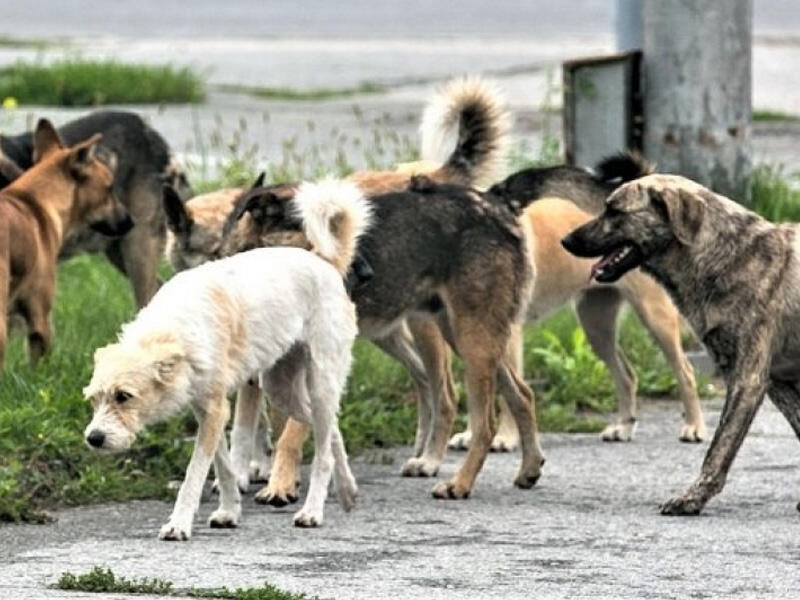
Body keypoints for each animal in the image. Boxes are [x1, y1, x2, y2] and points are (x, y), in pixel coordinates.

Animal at [81, 178, 368, 540]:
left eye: (124, 396)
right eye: (94, 400)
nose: (93, 438)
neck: (174, 330)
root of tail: (324, 261)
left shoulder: (216, 411)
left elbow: (195, 473)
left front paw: (179, 523)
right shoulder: (207, 411)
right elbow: (224, 465)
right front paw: (229, 511)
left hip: (319, 381)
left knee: (323, 452)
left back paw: (312, 511)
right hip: (282, 390)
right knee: (330, 432)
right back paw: (347, 490)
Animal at [450, 155, 708, 450]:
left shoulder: (509, 336)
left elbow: (507, 395)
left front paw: (505, 437)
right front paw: (471, 435)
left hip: (655, 319)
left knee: (685, 371)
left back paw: (694, 426)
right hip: (596, 325)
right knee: (627, 375)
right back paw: (623, 427)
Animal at [560, 173, 800, 516]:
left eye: (614, 211)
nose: (565, 241)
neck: (728, 257)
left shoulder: (748, 381)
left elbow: (718, 449)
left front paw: (691, 499)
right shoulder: (777, 383)